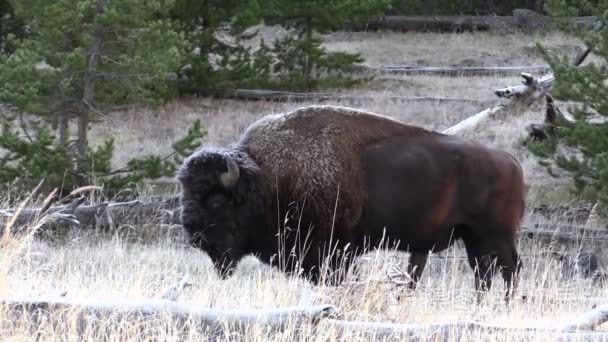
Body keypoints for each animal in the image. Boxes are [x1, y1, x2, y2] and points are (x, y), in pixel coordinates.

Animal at [178, 105, 524, 300]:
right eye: (186, 193)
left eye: (217, 201)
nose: (193, 234)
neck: (267, 178)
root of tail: (511, 161)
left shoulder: (331, 251)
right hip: (472, 236)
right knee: (484, 273)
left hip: (495, 235)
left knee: (509, 270)